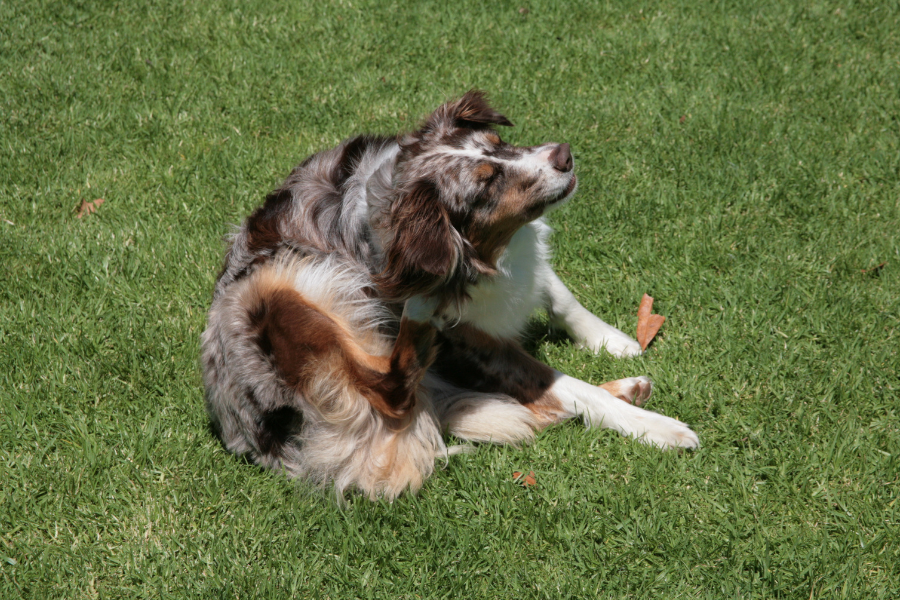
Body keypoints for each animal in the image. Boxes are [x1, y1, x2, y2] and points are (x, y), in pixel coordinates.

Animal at [200, 89, 700, 500]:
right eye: (486, 182)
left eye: (499, 144)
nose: (563, 154)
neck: (480, 252)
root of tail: (252, 438)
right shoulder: (479, 345)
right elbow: (568, 386)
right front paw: (658, 428)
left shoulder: (526, 270)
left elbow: (560, 299)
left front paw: (612, 341)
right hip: (286, 283)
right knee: (390, 389)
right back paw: (419, 316)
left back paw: (627, 388)